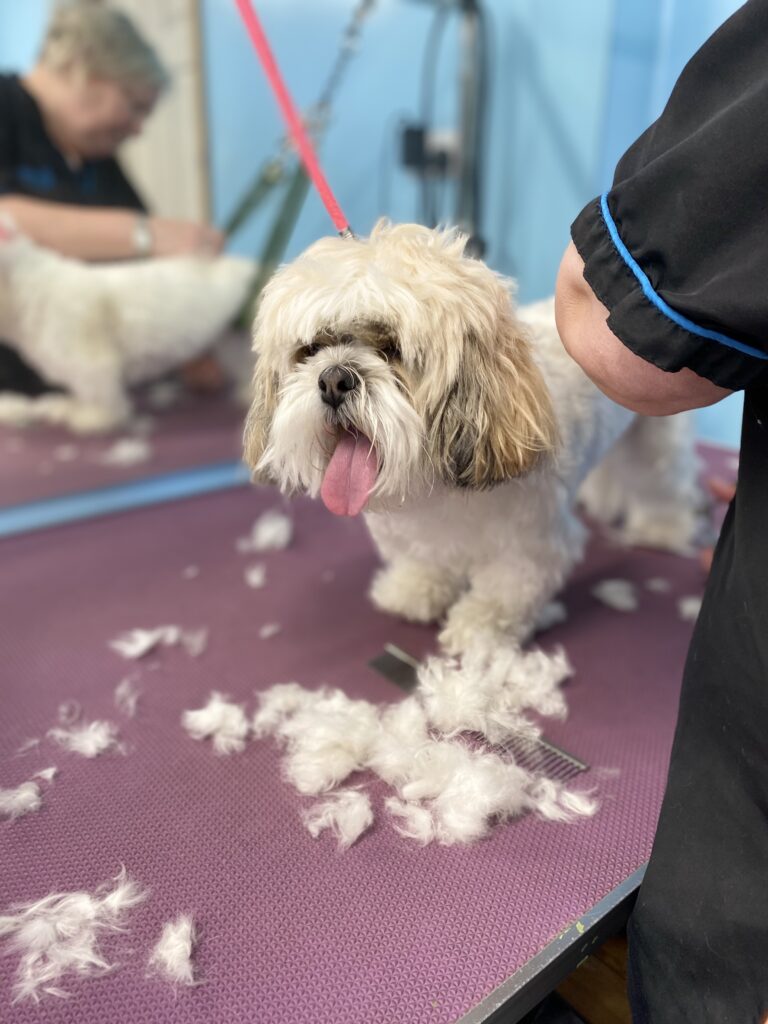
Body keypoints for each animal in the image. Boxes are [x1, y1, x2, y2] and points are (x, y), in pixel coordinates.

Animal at [0, 220, 259, 432]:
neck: (25, 289)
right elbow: (82, 391)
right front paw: (72, 407)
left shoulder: (91, 362)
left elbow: (100, 395)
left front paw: (95, 418)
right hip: (230, 339)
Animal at [243, 220, 700, 651]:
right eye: (311, 349)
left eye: (392, 349)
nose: (334, 379)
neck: (436, 487)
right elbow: (425, 563)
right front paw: (416, 590)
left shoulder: (531, 547)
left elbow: (506, 592)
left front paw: (480, 627)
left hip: (654, 444)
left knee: (662, 481)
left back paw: (663, 528)